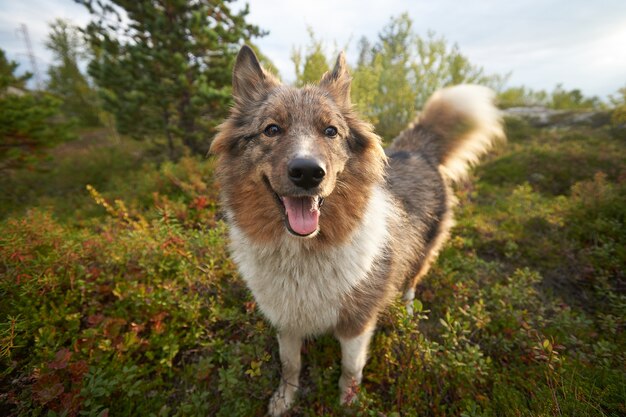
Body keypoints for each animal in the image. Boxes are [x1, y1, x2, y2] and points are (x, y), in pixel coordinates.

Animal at [210, 44, 502, 414]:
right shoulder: (286, 321)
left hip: (421, 255)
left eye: (331, 131)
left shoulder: (356, 324)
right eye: (272, 129)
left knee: (411, 286)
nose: (308, 173)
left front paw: (348, 404)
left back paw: (407, 316)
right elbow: (290, 365)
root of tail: (417, 149)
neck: (303, 253)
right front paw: (284, 399)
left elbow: (350, 370)